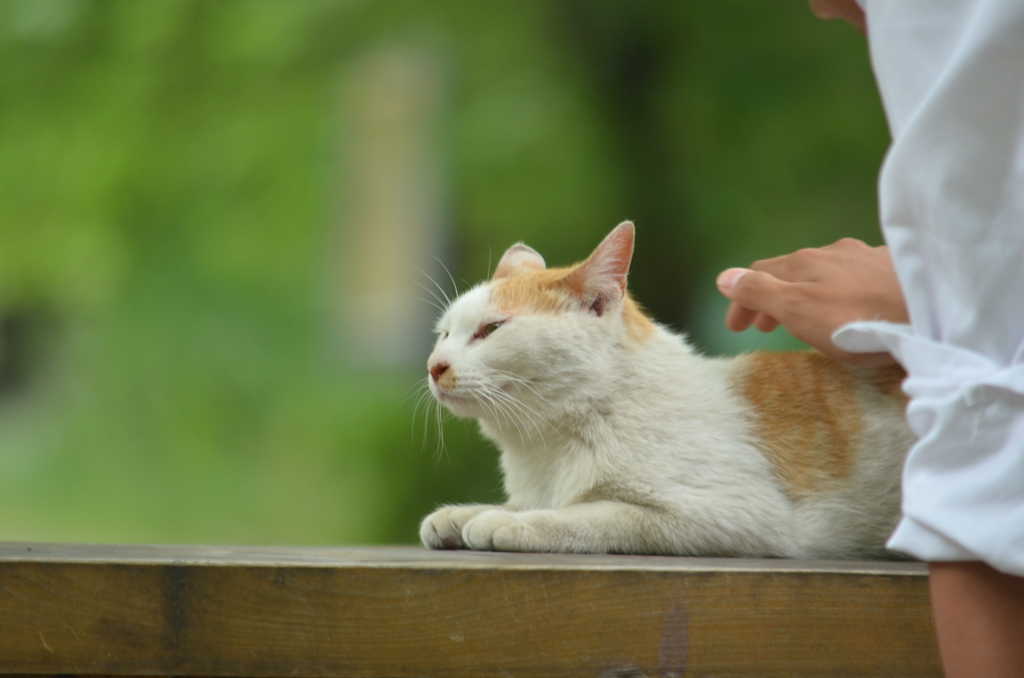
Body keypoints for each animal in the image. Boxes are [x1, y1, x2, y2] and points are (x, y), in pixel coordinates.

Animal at [415, 222, 913, 557]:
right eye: (444, 334)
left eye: (491, 330)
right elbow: (531, 503)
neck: (550, 446)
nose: (434, 366)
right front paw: (462, 514)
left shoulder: (736, 516)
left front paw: (507, 521)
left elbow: (595, 514)